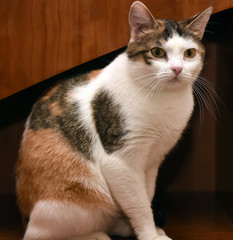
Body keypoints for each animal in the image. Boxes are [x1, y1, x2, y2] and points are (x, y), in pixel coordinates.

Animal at [15, 1, 213, 240]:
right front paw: (150, 235)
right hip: (74, 198)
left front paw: (150, 229)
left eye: (189, 53)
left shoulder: (152, 162)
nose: (177, 69)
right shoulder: (120, 162)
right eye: (157, 52)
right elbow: (139, 205)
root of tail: (25, 219)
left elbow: (145, 196)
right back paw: (95, 235)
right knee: (42, 235)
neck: (164, 100)